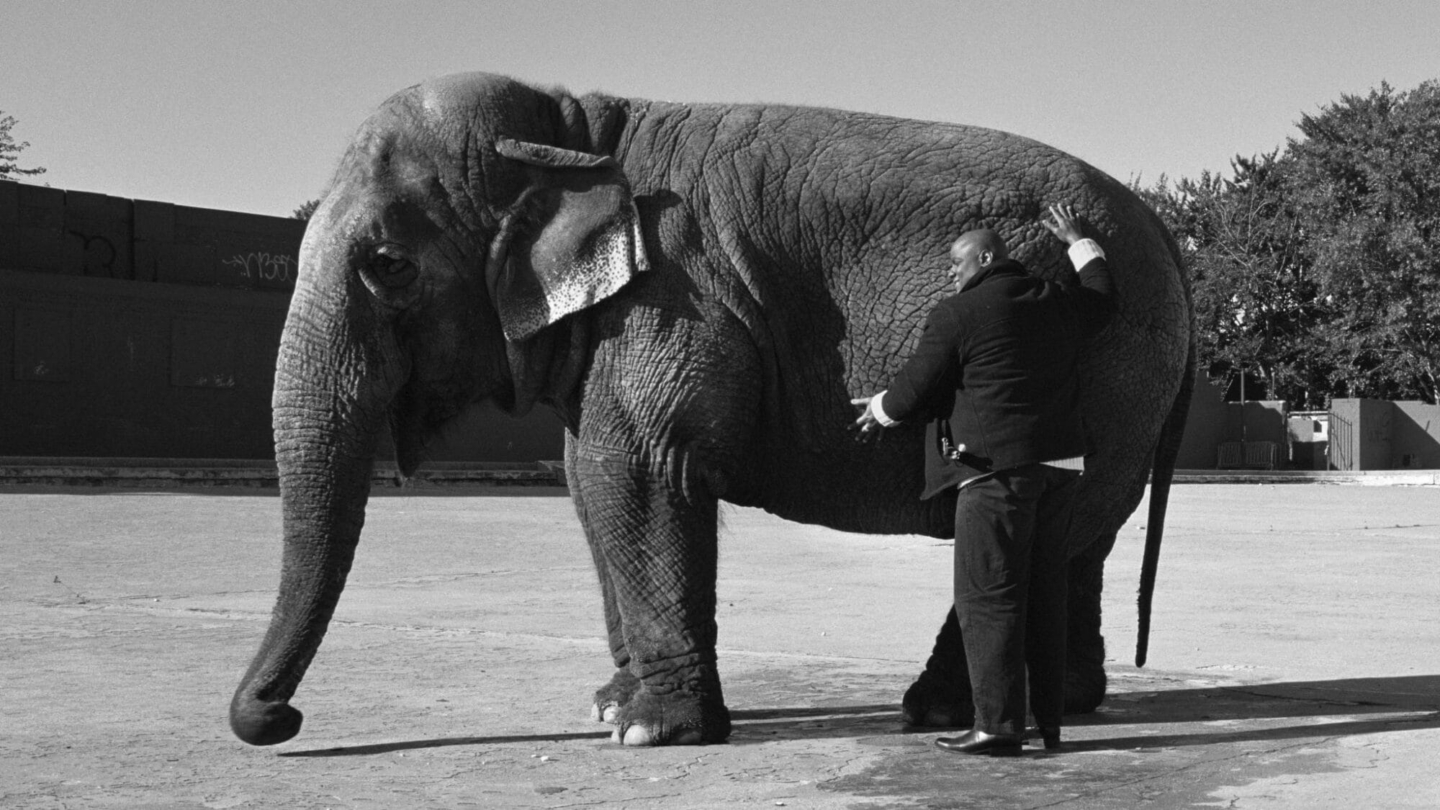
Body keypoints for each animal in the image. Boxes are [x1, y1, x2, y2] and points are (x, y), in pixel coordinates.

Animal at [227, 74, 1192, 743]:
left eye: (386, 265)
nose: (278, 721)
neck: (579, 130)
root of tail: (1170, 242)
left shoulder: (678, 293)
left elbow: (639, 469)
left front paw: (646, 731)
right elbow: (587, 480)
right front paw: (607, 708)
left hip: (1115, 373)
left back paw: (937, 711)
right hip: (1121, 390)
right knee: (1076, 533)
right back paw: (1065, 702)